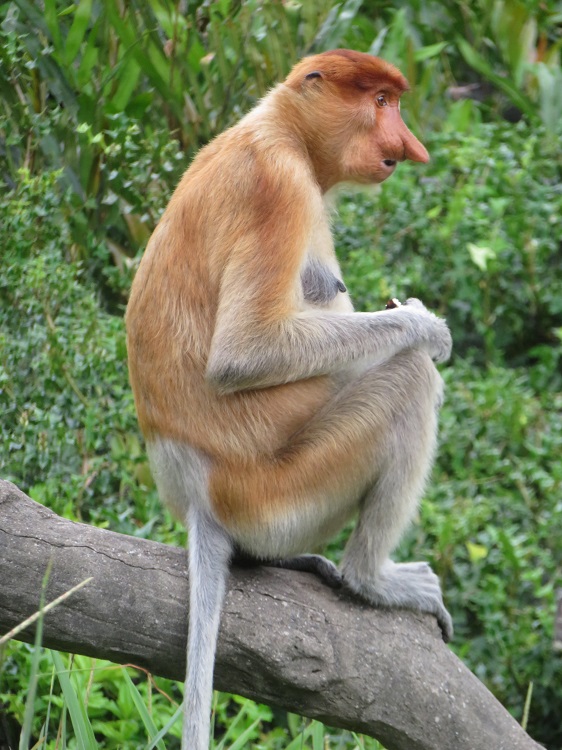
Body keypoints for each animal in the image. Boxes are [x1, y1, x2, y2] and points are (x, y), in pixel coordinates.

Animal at [125, 49, 453, 750]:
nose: (408, 145)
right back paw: (369, 580)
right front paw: (424, 325)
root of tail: (200, 493)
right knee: (409, 383)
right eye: (381, 101)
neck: (281, 129)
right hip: (284, 496)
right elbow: (243, 354)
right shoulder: (275, 187)